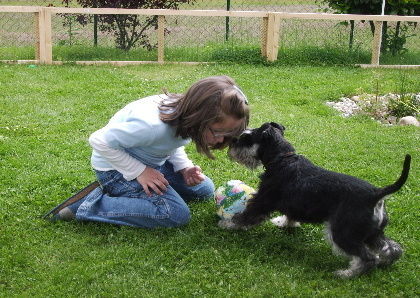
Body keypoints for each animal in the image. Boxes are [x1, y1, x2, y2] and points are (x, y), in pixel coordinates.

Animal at [225, 122, 412, 278]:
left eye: (246, 138)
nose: (231, 144)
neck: (283, 158)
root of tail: (375, 195)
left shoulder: (262, 200)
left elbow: (247, 215)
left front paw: (228, 224)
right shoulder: (293, 203)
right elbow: (290, 215)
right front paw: (283, 223)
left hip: (343, 233)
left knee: (367, 257)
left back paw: (347, 274)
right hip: (372, 232)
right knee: (392, 248)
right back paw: (385, 262)